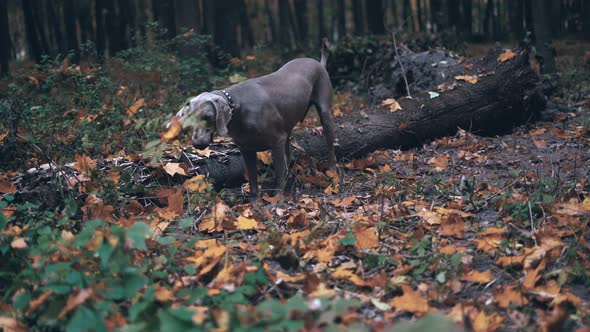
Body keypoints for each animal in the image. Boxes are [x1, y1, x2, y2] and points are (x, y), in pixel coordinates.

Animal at [177, 39, 338, 197]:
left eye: (208, 116)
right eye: (189, 119)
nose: (197, 144)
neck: (238, 110)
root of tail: (318, 63)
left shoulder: (277, 141)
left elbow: (279, 174)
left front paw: (278, 197)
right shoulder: (246, 149)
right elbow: (253, 181)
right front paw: (254, 202)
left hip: (324, 114)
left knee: (330, 147)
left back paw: (332, 170)